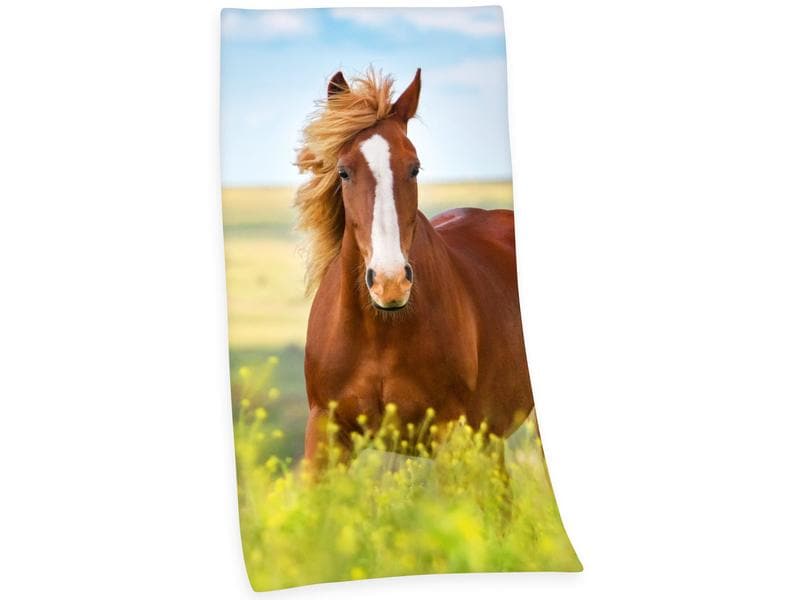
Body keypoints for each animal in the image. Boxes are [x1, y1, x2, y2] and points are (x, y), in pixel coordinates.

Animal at [294, 68, 534, 465]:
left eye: (415, 168)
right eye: (343, 172)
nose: (390, 283)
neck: (381, 332)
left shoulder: (450, 434)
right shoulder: (324, 432)